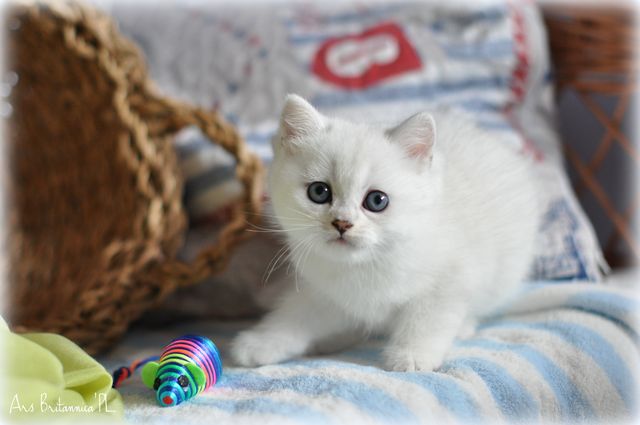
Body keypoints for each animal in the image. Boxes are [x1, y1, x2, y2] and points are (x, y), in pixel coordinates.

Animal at [231, 94, 539, 371]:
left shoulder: (451, 279)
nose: (342, 223)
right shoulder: (322, 291)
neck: (366, 265)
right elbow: (296, 315)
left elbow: (427, 319)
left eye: (377, 201)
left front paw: (412, 356)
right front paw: (261, 343)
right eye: (319, 192)